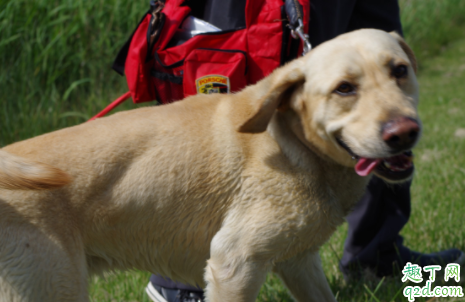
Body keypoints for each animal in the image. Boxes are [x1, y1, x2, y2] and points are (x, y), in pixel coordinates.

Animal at [0, 30, 418, 302]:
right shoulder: (235, 262)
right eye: (344, 88)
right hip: (53, 288)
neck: (295, 145)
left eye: (399, 70)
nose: (404, 132)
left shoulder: (298, 261)